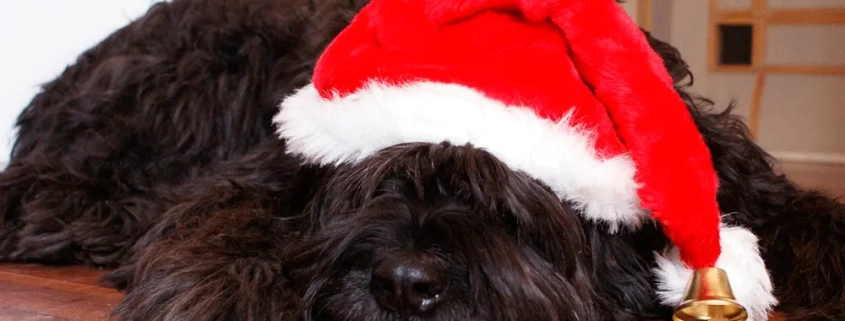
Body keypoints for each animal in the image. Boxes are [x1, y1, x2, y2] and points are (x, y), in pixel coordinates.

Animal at [0, 0, 840, 320]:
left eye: (508, 200)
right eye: (375, 186)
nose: (404, 284)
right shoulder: (252, 179)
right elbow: (216, 230)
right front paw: (222, 294)